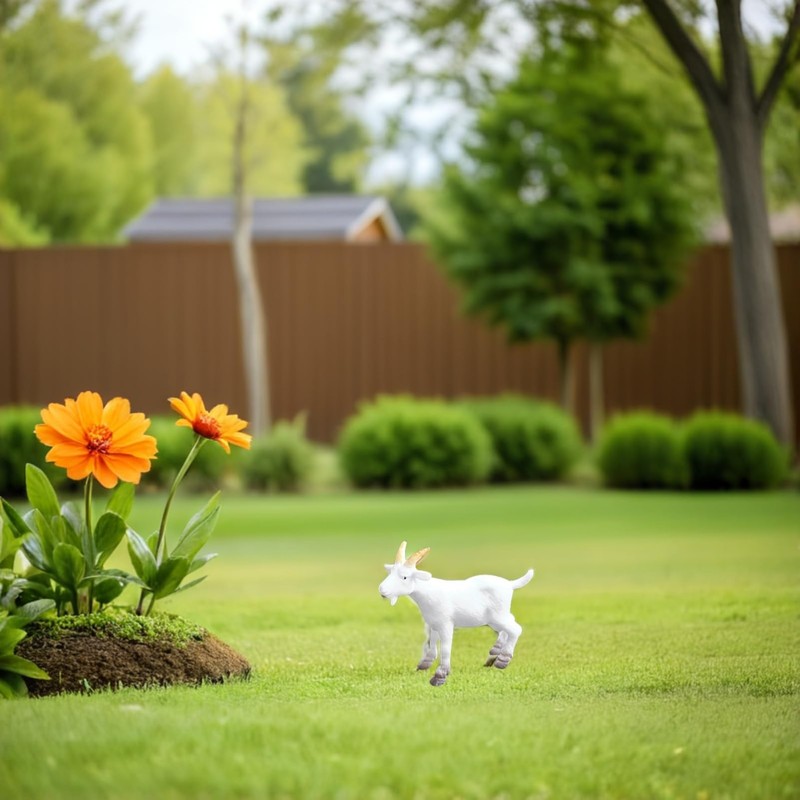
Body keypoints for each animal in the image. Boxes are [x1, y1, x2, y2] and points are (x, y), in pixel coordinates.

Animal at [379, 541, 534, 686]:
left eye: (404, 577)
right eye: (390, 573)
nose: (382, 590)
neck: (428, 592)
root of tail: (510, 584)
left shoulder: (445, 625)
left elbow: (446, 648)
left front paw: (439, 676)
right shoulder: (433, 624)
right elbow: (432, 642)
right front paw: (425, 663)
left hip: (498, 615)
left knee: (515, 629)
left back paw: (502, 659)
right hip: (495, 617)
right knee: (508, 625)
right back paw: (494, 653)